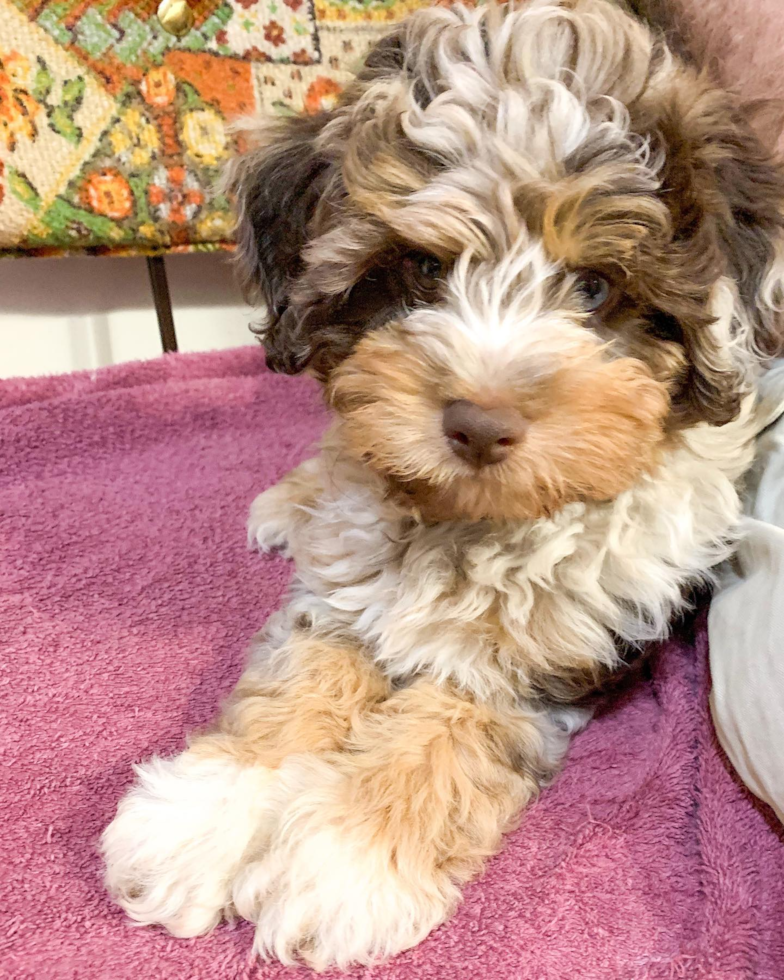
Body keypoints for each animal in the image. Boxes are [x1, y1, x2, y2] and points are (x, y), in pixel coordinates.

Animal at [101, 0, 780, 964]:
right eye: (424, 267)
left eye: (595, 287)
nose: (479, 422)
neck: (471, 522)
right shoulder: (341, 586)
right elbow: (301, 677)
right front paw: (207, 814)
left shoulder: (556, 654)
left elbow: (452, 723)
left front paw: (342, 862)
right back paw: (284, 502)